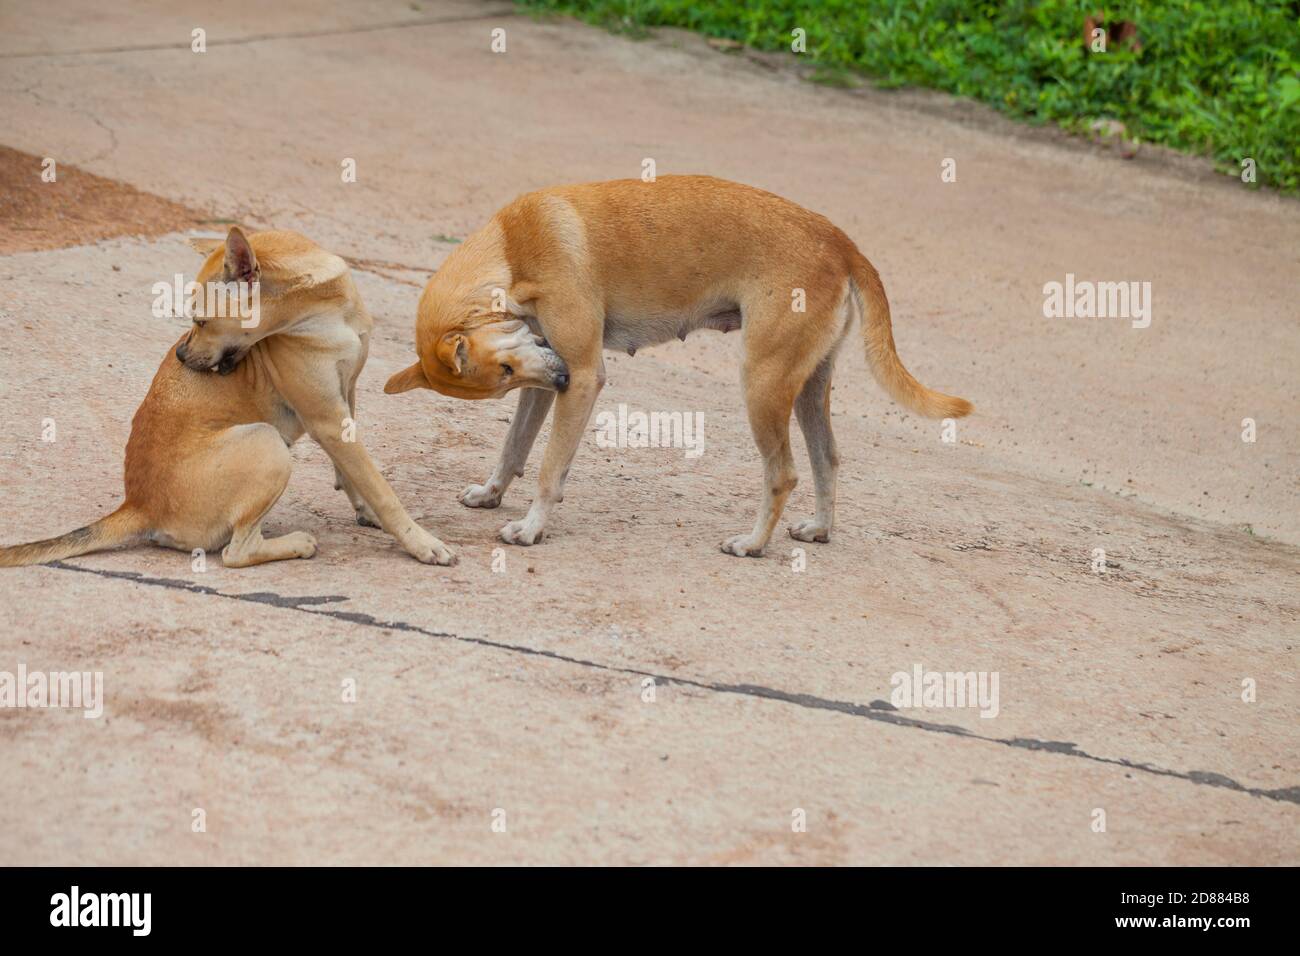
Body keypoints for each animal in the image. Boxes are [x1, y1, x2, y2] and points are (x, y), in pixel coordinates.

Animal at [1, 226, 457, 567]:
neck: (323, 308)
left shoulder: (346, 397)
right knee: (237, 553)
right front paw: (421, 543)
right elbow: (382, 489)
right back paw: (296, 544)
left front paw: (367, 512)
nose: (181, 356)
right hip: (267, 444)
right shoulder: (327, 417)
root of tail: (139, 505)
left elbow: (354, 474)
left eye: (201, 321)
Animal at [379, 175, 972, 556]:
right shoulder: (546, 377)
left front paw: (530, 529)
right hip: (807, 387)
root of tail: (842, 242)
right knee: (826, 459)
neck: (512, 246)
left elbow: (548, 470)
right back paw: (819, 532)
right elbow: (514, 448)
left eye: (503, 372)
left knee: (783, 474)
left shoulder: (582, 376)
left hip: (763, 384)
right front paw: (492, 493)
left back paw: (753, 544)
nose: (562, 378)